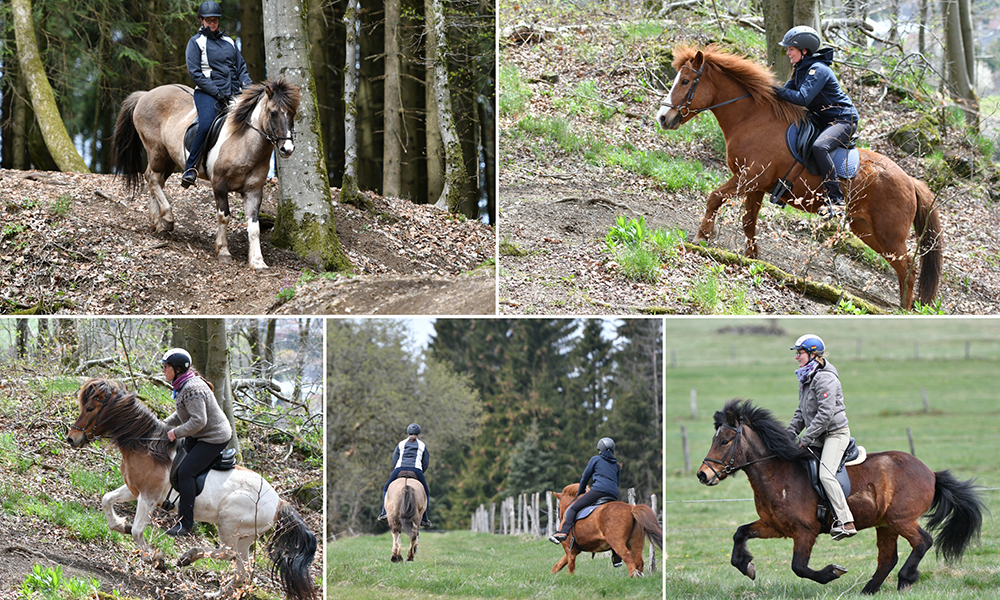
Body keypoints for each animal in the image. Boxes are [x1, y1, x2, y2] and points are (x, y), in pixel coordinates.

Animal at [65, 380, 316, 600]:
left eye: (89, 408)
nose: (71, 439)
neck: (146, 445)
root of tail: (279, 502)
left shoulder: (148, 497)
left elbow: (137, 531)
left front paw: (156, 559)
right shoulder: (134, 490)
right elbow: (107, 500)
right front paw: (121, 525)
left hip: (229, 523)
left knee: (227, 552)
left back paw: (188, 556)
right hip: (245, 537)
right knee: (241, 572)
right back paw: (213, 593)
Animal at [112, 77, 300, 268]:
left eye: (293, 113)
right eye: (273, 112)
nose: (287, 149)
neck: (243, 143)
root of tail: (146, 94)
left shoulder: (253, 190)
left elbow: (254, 227)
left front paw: (257, 261)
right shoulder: (219, 184)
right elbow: (224, 217)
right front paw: (223, 251)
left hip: (169, 159)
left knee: (155, 180)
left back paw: (157, 222)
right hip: (157, 152)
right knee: (152, 178)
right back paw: (168, 218)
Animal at [652, 46, 940, 310]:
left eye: (685, 81)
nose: (663, 118)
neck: (752, 119)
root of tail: (911, 182)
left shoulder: (749, 178)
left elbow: (715, 197)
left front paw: (703, 237)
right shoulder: (757, 186)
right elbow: (748, 222)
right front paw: (751, 258)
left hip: (889, 235)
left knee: (909, 270)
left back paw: (904, 309)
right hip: (866, 229)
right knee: (903, 269)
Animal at [696, 398, 984, 596]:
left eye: (724, 441)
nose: (702, 474)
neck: (778, 473)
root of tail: (930, 473)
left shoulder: (805, 531)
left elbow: (799, 567)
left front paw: (831, 572)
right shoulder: (774, 526)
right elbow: (740, 534)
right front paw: (746, 565)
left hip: (901, 519)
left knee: (923, 541)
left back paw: (906, 578)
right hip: (885, 525)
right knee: (887, 558)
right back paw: (868, 591)